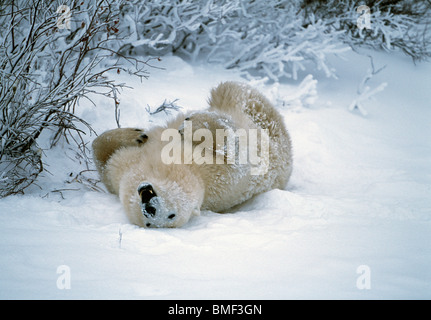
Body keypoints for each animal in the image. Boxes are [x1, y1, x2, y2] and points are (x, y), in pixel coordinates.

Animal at [92, 82, 292, 228]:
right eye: (149, 223)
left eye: (171, 215)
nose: (150, 207)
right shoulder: (121, 169)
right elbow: (102, 156)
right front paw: (134, 135)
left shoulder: (218, 175)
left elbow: (238, 158)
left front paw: (190, 127)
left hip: (264, 122)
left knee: (233, 93)